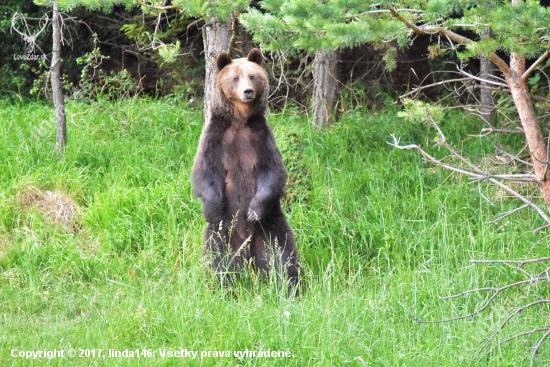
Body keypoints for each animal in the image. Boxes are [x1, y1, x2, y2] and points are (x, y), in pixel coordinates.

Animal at [191, 49, 302, 290]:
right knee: (217, 258)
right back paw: (222, 285)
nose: (248, 91)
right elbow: (204, 173)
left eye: (252, 76)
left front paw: (253, 211)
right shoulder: (216, 136)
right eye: (235, 78)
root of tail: (247, 250)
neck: (239, 120)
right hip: (222, 236)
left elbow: (273, 171)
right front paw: (214, 208)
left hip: (271, 226)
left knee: (282, 256)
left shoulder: (260, 136)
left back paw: (290, 286)